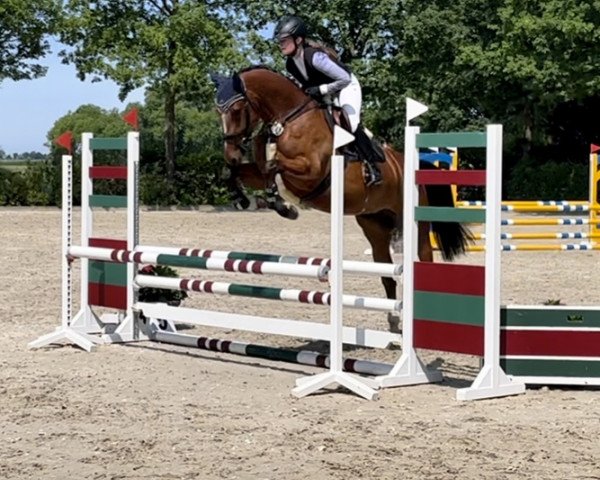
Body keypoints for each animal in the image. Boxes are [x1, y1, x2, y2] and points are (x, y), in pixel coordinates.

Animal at [212, 65, 474, 328]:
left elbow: (273, 165)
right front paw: (245, 197)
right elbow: (240, 171)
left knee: (424, 258)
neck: (289, 118)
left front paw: (283, 204)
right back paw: (393, 321)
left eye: (236, 110)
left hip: (415, 226)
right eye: (218, 112)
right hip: (375, 226)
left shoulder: (312, 171)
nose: (231, 153)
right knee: (387, 275)